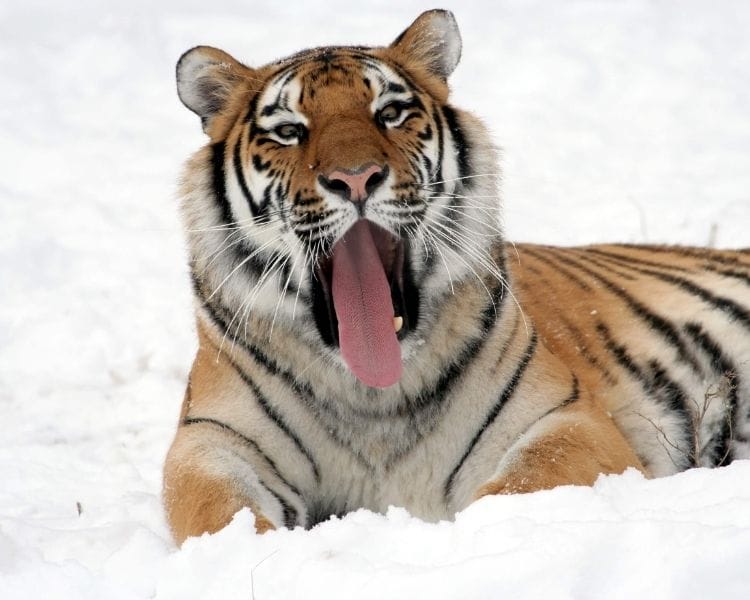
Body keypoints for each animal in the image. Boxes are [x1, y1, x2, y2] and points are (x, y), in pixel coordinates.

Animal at [163, 9, 750, 544]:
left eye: (390, 113)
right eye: (289, 131)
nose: (356, 178)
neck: (372, 396)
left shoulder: (566, 418)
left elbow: (523, 484)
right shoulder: (211, 441)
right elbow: (218, 512)